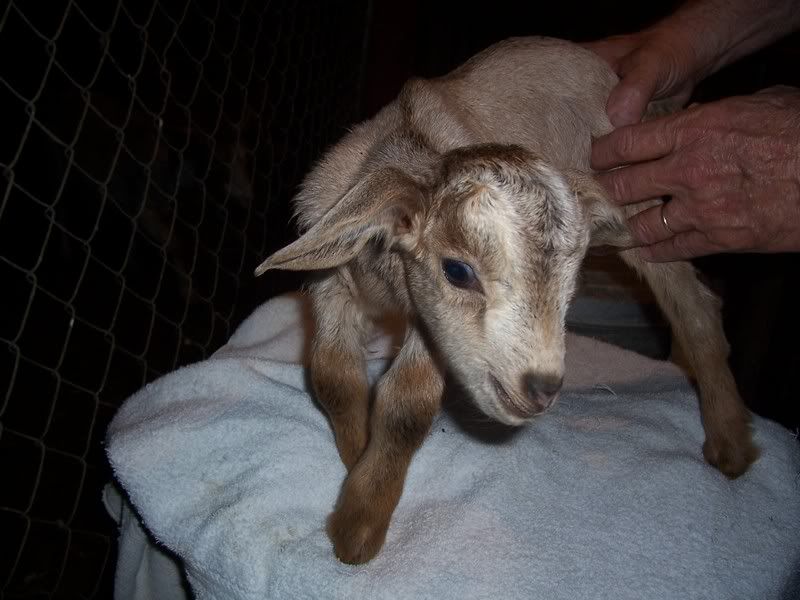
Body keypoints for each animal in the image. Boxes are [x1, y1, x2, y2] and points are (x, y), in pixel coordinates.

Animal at [254, 37, 759, 564]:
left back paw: (729, 441)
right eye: (458, 271)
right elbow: (331, 373)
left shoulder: (432, 328)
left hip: (643, 210)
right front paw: (354, 453)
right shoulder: (333, 281)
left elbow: (407, 402)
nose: (543, 387)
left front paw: (359, 523)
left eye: (569, 284)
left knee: (695, 307)